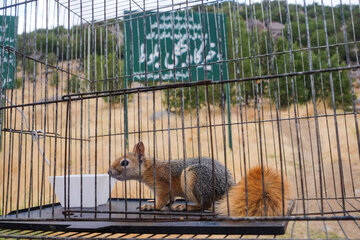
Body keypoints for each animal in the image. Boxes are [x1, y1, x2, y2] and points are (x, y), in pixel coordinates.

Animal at [108, 142, 288, 215]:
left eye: (124, 162)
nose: (109, 172)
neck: (150, 168)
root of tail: (228, 186)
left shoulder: (162, 185)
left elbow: (162, 202)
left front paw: (151, 207)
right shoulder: (167, 191)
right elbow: (170, 199)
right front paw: (152, 202)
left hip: (194, 177)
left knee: (206, 205)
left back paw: (187, 207)